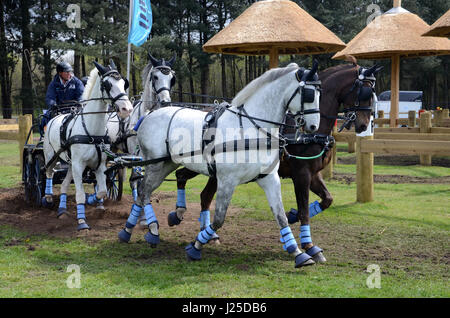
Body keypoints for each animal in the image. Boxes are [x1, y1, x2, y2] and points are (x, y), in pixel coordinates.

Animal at [42, 61, 133, 231]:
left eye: (124, 83)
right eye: (107, 84)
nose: (127, 109)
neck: (92, 131)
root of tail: (55, 117)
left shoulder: (99, 165)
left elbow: (102, 191)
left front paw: (94, 201)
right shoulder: (79, 165)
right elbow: (80, 194)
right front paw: (82, 222)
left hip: (71, 164)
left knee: (64, 184)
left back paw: (62, 210)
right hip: (51, 156)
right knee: (48, 173)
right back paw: (48, 197)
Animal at [118, 60, 326, 268]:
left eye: (319, 93)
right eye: (309, 94)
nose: (313, 126)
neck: (252, 129)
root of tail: (151, 114)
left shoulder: (269, 178)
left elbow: (281, 216)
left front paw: (297, 252)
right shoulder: (227, 181)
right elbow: (219, 218)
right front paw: (195, 246)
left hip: (167, 164)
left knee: (145, 191)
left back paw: (135, 229)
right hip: (155, 165)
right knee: (143, 191)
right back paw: (146, 230)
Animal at [169, 62, 384, 264]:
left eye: (373, 93)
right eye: (364, 91)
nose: (364, 125)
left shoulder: (313, 174)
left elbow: (327, 200)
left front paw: (292, 218)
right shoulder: (301, 174)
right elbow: (305, 209)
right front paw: (308, 245)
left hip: (211, 172)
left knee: (200, 192)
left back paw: (206, 233)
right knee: (184, 178)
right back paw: (183, 218)